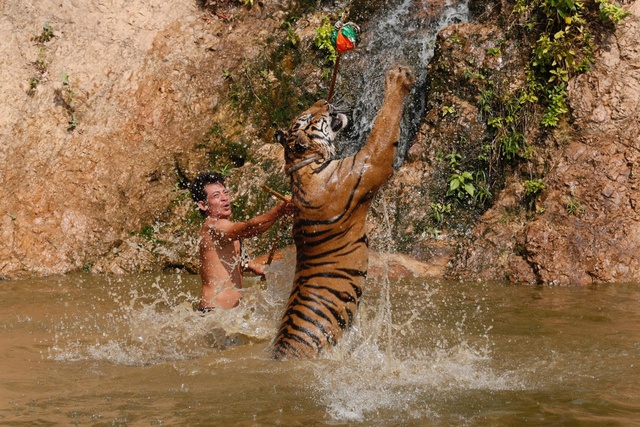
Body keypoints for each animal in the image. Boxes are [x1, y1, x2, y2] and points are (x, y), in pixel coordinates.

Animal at [272, 67, 416, 360]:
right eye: (310, 117)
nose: (324, 101)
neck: (303, 166)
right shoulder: (370, 163)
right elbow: (384, 127)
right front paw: (397, 80)